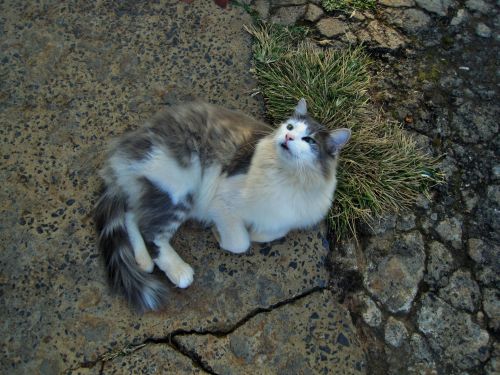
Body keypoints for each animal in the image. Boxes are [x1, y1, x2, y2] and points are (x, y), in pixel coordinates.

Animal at [94, 98, 352, 312]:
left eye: (308, 140)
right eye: (289, 127)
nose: (288, 138)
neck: (288, 177)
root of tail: (126, 144)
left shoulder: (287, 220)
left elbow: (268, 233)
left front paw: (254, 231)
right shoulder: (223, 201)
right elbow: (240, 242)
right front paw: (220, 234)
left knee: (132, 215)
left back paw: (142, 260)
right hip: (180, 187)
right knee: (151, 231)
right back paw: (177, 270)